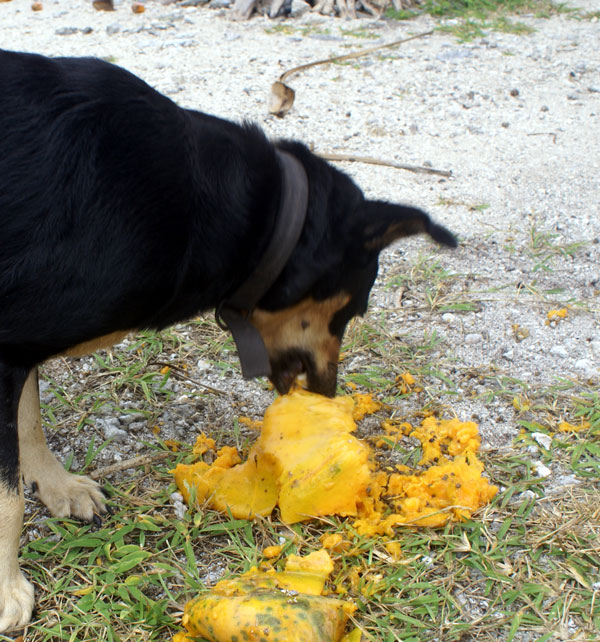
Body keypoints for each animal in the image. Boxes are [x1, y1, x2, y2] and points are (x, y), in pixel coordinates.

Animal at [0, 50, 454, 632]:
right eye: (353, 309)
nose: (327, 394)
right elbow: (8, 491)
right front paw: (8, 589)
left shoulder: (21, 339)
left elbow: (28, 420)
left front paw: (55, 485)